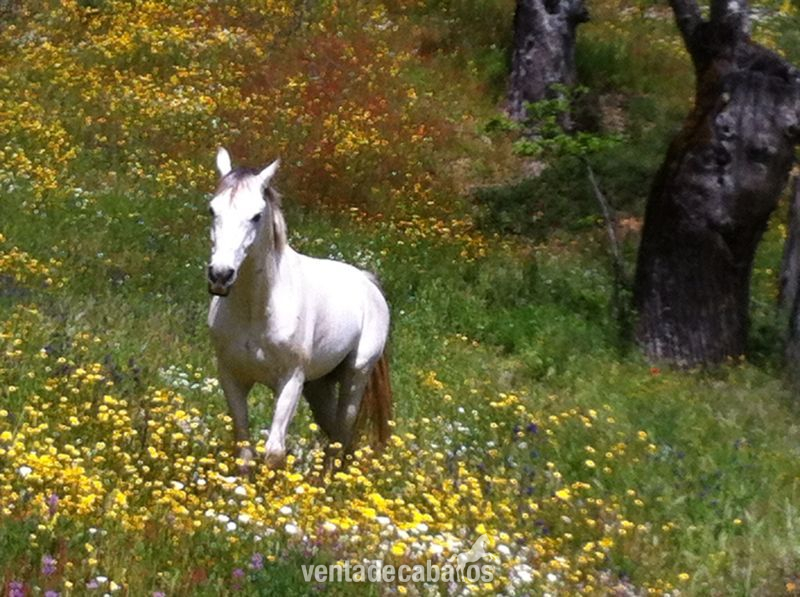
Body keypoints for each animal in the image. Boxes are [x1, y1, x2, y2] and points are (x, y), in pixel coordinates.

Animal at [206, 148, 392, 469]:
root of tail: (368, 284)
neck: (256, 309)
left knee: (340, 437)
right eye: (212, 210)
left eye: (256, 216)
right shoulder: (231, 376)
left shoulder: (290, 380)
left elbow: (274, 453)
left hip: (355, 376)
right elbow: (244, 453)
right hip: (317, 386)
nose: (220, 275)